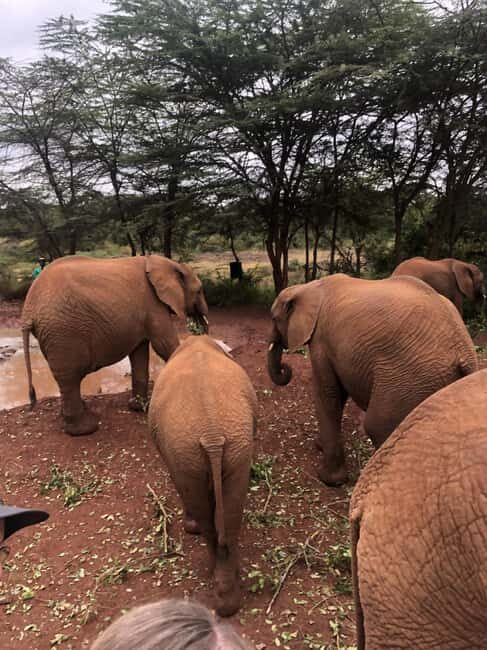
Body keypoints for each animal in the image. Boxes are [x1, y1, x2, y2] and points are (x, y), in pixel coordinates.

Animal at [21, 254, 208, 436]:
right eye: (199, 290)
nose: (197, 327)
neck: (168, 263)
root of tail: (28, 309)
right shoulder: (153, 305)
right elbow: (164, 344)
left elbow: (140, 351)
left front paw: (140, 407)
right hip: (63, 331)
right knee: (70, 378)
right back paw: (86, 429)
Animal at [148, 335, 257, 617]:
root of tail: (212, 435)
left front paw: (190, 528)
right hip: (234, 447)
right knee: (230, 513)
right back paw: (228, 599)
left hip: (186, 450)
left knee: (207, 514)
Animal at [267, 274, 478, 486]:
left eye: (274, 318)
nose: (286, 369)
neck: (308, 287)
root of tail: (463, 352)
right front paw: (320, 446)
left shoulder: (321, 341)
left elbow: (328, 394)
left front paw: (329, 479)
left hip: (409, 380)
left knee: (377, 426)